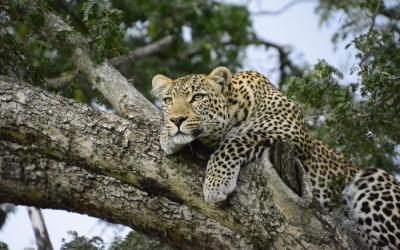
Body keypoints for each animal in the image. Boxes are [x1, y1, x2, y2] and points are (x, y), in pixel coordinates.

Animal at [152, 67, 398, 250]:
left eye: (198, 97)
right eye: (168, 100)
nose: (176, 120)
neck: (236, 107)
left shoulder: (291, 134)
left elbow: (236, 141)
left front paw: (216, 183)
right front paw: (167, 135)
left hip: (372, 179)